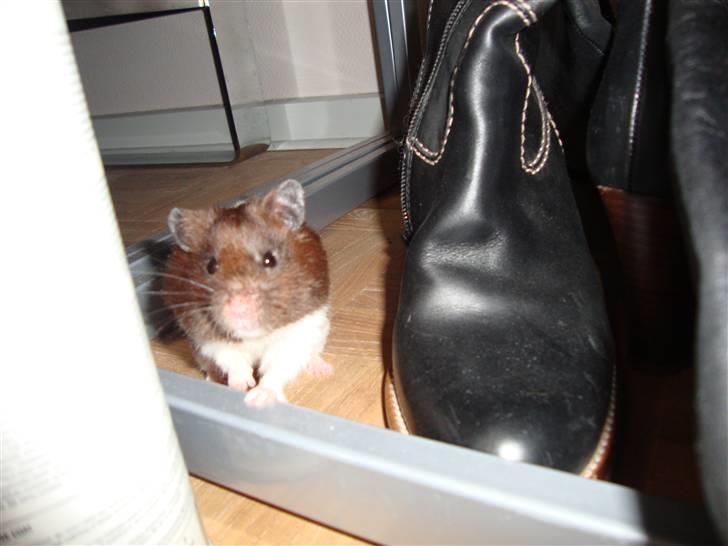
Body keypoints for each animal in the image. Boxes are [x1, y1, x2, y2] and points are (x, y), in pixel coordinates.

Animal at [162, 179, 331, 407]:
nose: (239, 310)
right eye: (211, 266)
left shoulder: (299, 329)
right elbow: (232, 360)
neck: (255, 337)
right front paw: (239, 387)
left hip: (321, 331)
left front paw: (258, 398)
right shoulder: (205, 337)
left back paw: (323, 370)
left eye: (270, 259)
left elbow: (278, 368)